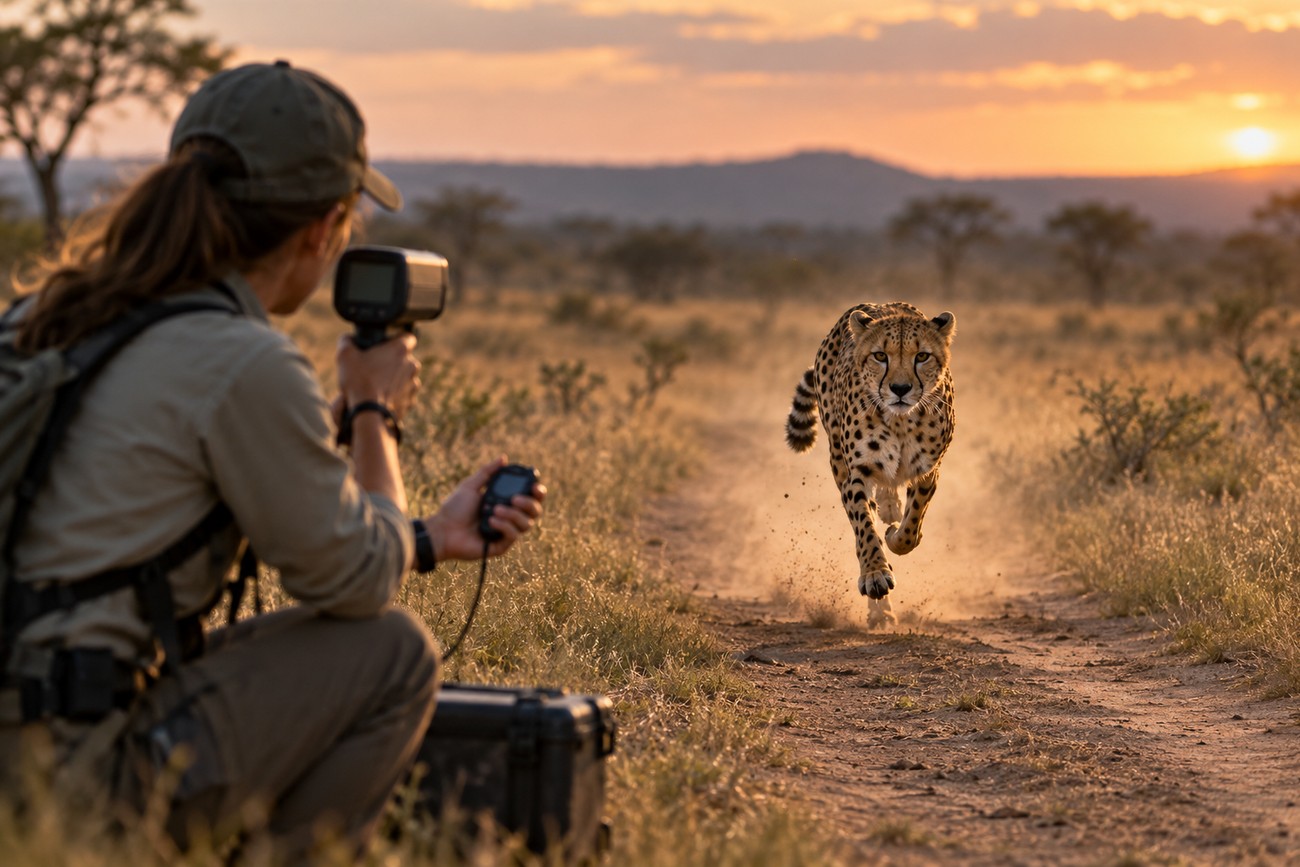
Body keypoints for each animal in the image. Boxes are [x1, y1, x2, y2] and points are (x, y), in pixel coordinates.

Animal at [785, 302, 956, 627]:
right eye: (880, 356)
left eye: (922, 356)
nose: (900, 388)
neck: (901, 420)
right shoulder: (856, 473)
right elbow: (864, 527)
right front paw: (875, 574)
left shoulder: (928, 471)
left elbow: (912, 525)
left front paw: (896, 536)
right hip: (836, 455)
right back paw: (880, 607)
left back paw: (891, 510)